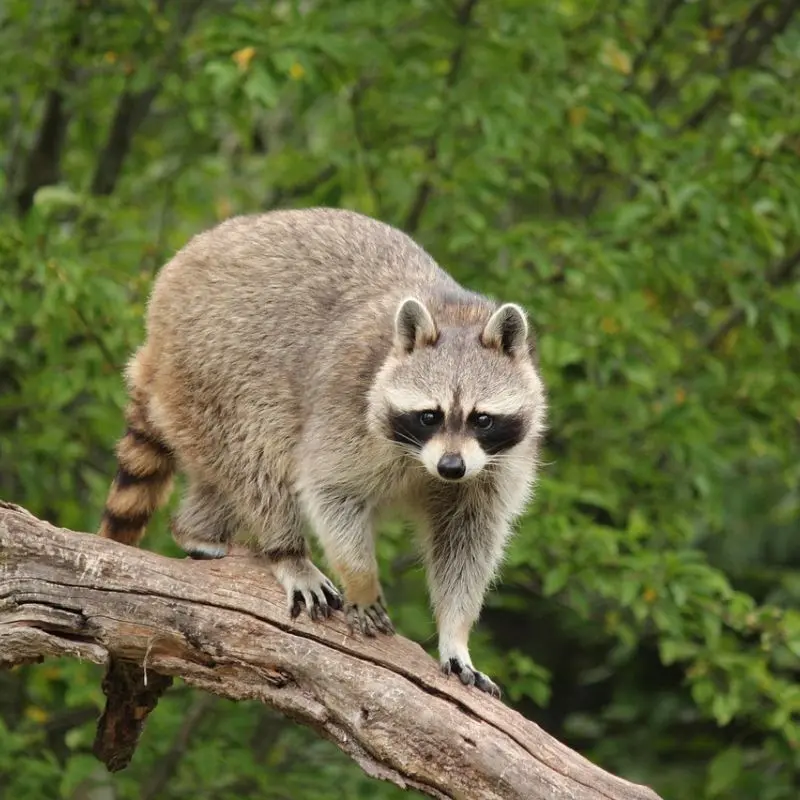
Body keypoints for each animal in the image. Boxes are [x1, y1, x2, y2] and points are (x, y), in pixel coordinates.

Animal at [99, 208, 547, 696]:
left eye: (482, 419)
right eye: (430, 415)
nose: (451, 467)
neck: (457, 314)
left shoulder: (496, 464)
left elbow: (468, 539)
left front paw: (455, 633)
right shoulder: (346, 404)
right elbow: (330, 490)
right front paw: (362, 580)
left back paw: (195, 530)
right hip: (214, 365)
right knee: (259, 456)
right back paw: (285, 551)